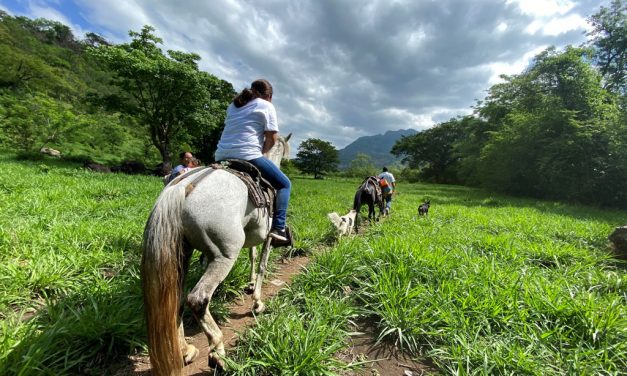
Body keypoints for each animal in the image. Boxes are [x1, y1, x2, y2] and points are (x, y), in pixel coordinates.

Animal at [142, 134, 292, 374]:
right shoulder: (268, 237)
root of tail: (183, 188)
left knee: (177, 300)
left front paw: (250, 285)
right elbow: (262, 265)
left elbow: (252, 256)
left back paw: (185, 350)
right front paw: (257, 302)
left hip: (182, 252)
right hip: (224, 256)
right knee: (198, 299)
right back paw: (218, 353)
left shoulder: (253, 237)